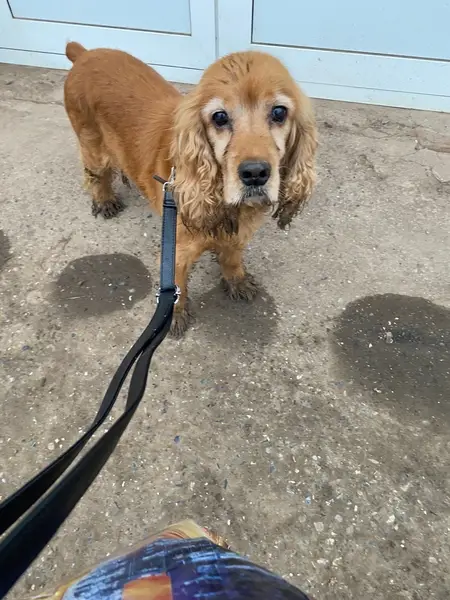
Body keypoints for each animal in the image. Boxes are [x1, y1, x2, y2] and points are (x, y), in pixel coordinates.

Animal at [64, 42, 317, 337]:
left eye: (279, 112)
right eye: (219, 117)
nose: (255, 173)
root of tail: (84, 53)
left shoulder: (239, 236)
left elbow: (232, 258)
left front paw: (237, 281)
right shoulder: (176, 252)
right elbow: (176, 288)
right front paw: (174, 317)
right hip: (91, 142)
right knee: (96, 174)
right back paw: (105, 200)